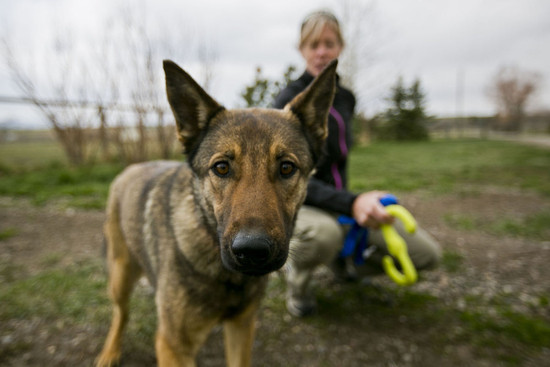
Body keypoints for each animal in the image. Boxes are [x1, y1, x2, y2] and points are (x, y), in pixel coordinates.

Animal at [95, 59, 338, 366]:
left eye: (286, 167)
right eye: (221, 168)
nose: (252, 251)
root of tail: (130, 168)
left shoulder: (241, 327)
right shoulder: (172, 346)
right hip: (121, 274)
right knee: (121, 312)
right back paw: (110, 351)